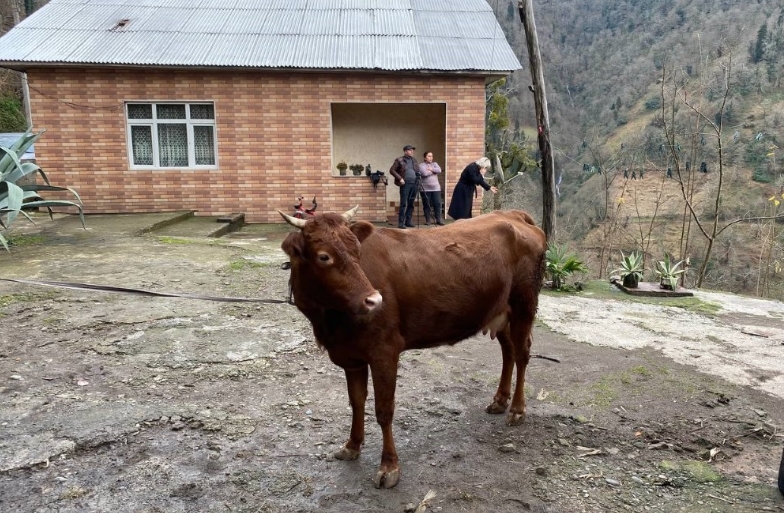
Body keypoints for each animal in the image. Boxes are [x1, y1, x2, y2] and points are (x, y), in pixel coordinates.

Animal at [280, 206, 544, 486]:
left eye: (358, 252)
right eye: (324, 256)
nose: (375, 300)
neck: (331, 324)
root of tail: (511, 214)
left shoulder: (385, 350)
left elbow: (384, 410)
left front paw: (389, 466)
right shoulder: (351, 356)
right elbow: (357, 401)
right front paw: (352, 445)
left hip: (524, 304)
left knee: (522, 353)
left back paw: (517, 410)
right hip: (500, 311)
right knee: (509, 352)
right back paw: (500, 401)